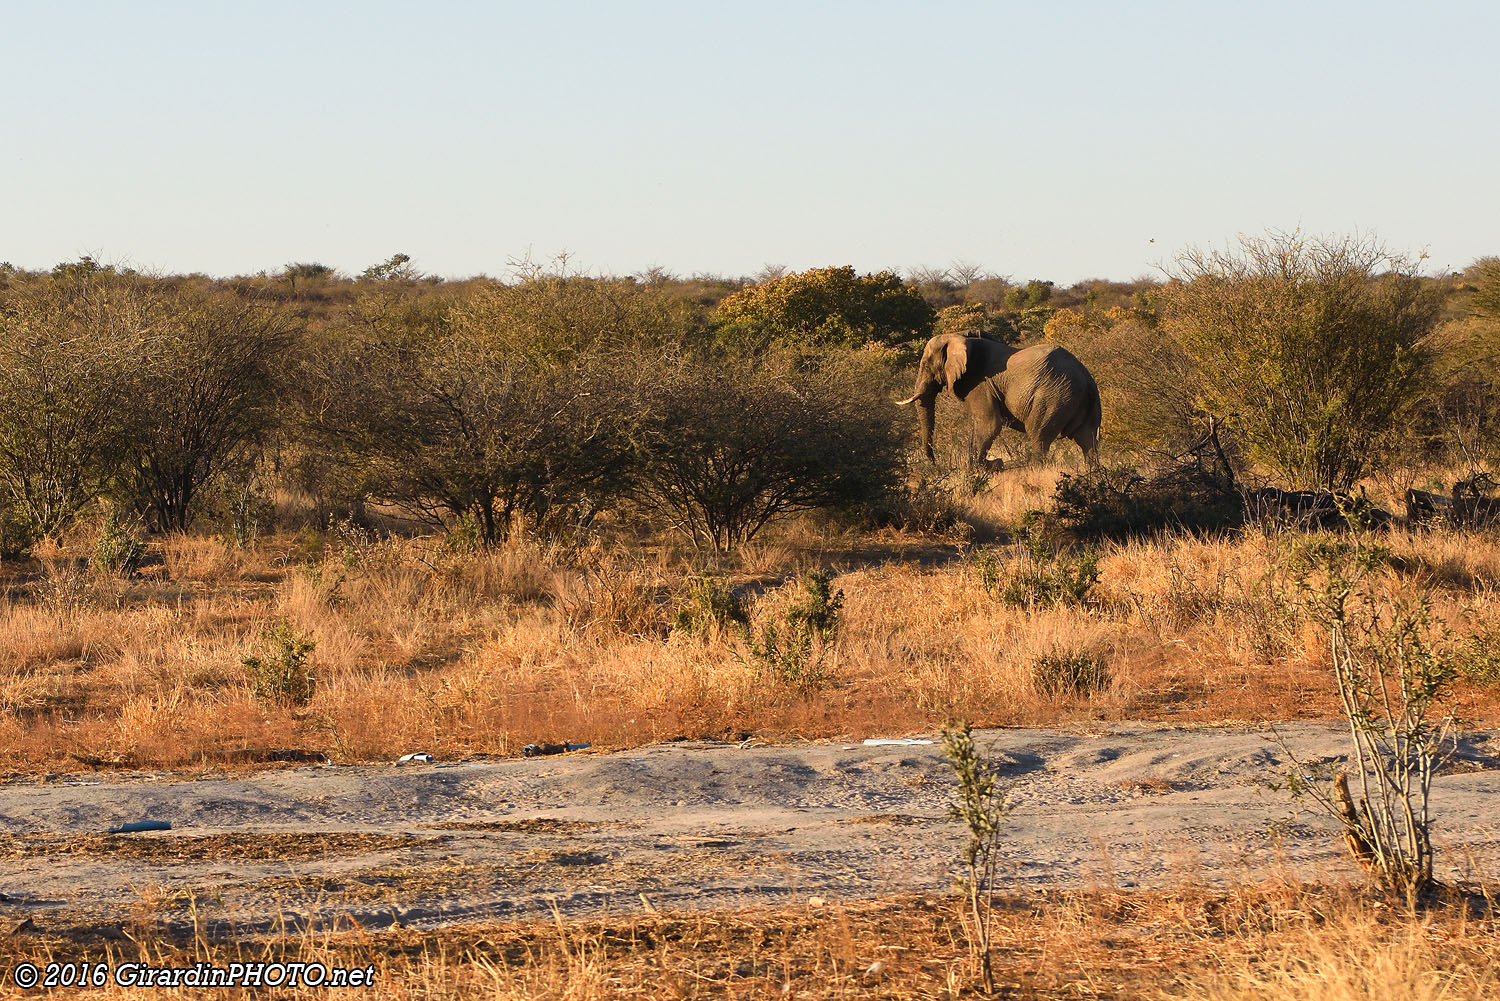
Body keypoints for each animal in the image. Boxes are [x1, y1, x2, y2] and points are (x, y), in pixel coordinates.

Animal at [888, 330, 1104, 468]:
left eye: (926, 364)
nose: (935, 464)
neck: (964, 337)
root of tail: (1086, 378)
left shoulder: (981, 383)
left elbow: (990, 425)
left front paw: (982, 466)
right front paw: (989, 465)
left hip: (1052, 396)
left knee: (1039, 435)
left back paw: (1034, 470)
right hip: (1084, 401)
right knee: (1088, 440)